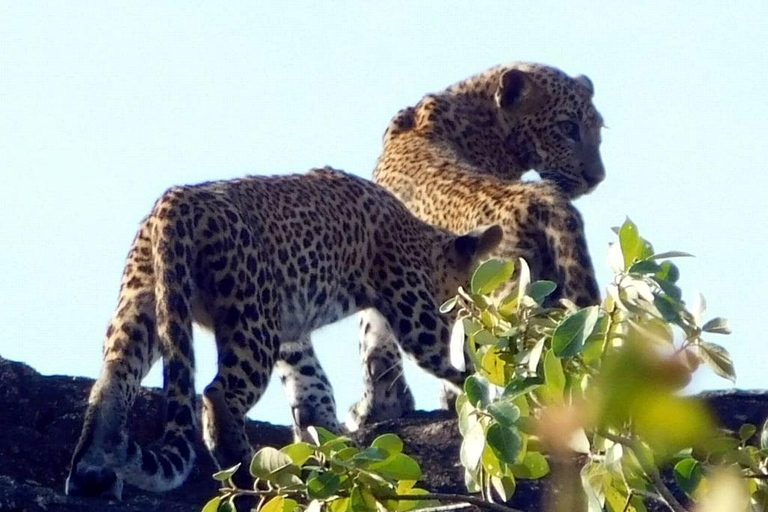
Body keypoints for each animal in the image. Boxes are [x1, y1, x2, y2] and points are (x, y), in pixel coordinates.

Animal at [63, 166, 500, 498]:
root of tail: (176, 201)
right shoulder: (417, 311)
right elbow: (456, 364)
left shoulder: (291, 329)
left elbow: (311, 384)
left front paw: (325, 431)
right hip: (250, 318)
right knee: (218, 394)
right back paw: (244, 473)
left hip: (143, 305)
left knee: (112, 381)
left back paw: (93, 474)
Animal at [272, 62, 608, 432]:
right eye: (567, 128)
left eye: (597, 131)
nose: (597, 178)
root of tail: (542, 199)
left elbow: (375, 336)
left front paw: (375, 408)